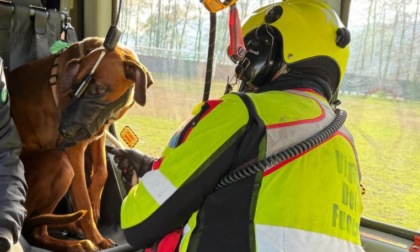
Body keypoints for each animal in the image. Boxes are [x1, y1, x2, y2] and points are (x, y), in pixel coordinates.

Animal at [5, 38, 153, 252]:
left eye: (99, 90)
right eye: (74, 87)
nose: (64, 130)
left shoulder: (98, 135)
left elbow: (101, 171)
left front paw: (94, 204)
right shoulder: (74, 151)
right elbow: (83, 200)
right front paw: (96, 236)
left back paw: (71, 226)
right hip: (60, 163)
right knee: (37, 231)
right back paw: (78, 243)